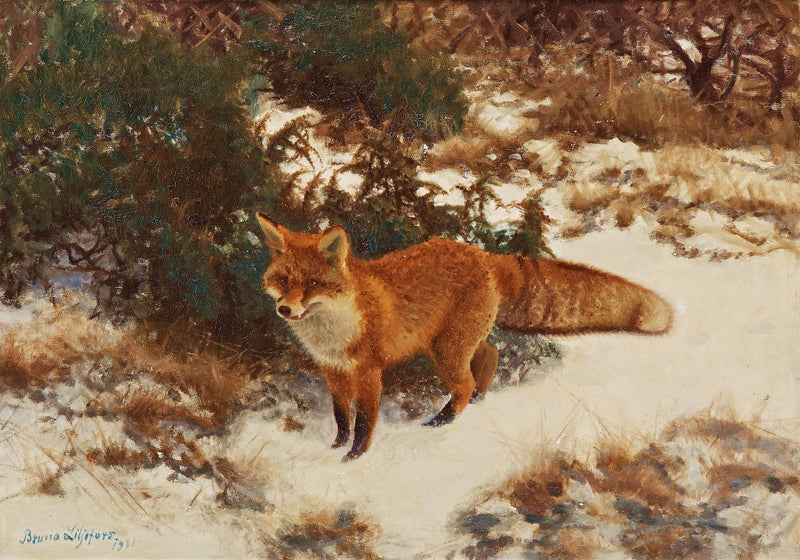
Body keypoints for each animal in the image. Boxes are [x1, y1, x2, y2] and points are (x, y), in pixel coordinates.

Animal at [256, 213, 672, 461]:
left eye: (313, 283)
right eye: (283, 279)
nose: (285, 310)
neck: (333, 328)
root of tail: (482, 254)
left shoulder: (368, 371)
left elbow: (364, 422)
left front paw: (353, 457)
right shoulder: (332, 369)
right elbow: (341, 416)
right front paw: (335, 445)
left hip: (446, 351)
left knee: (466, 382)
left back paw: (443, 421)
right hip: (450, 344)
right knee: (488, 356)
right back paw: (479, 401)